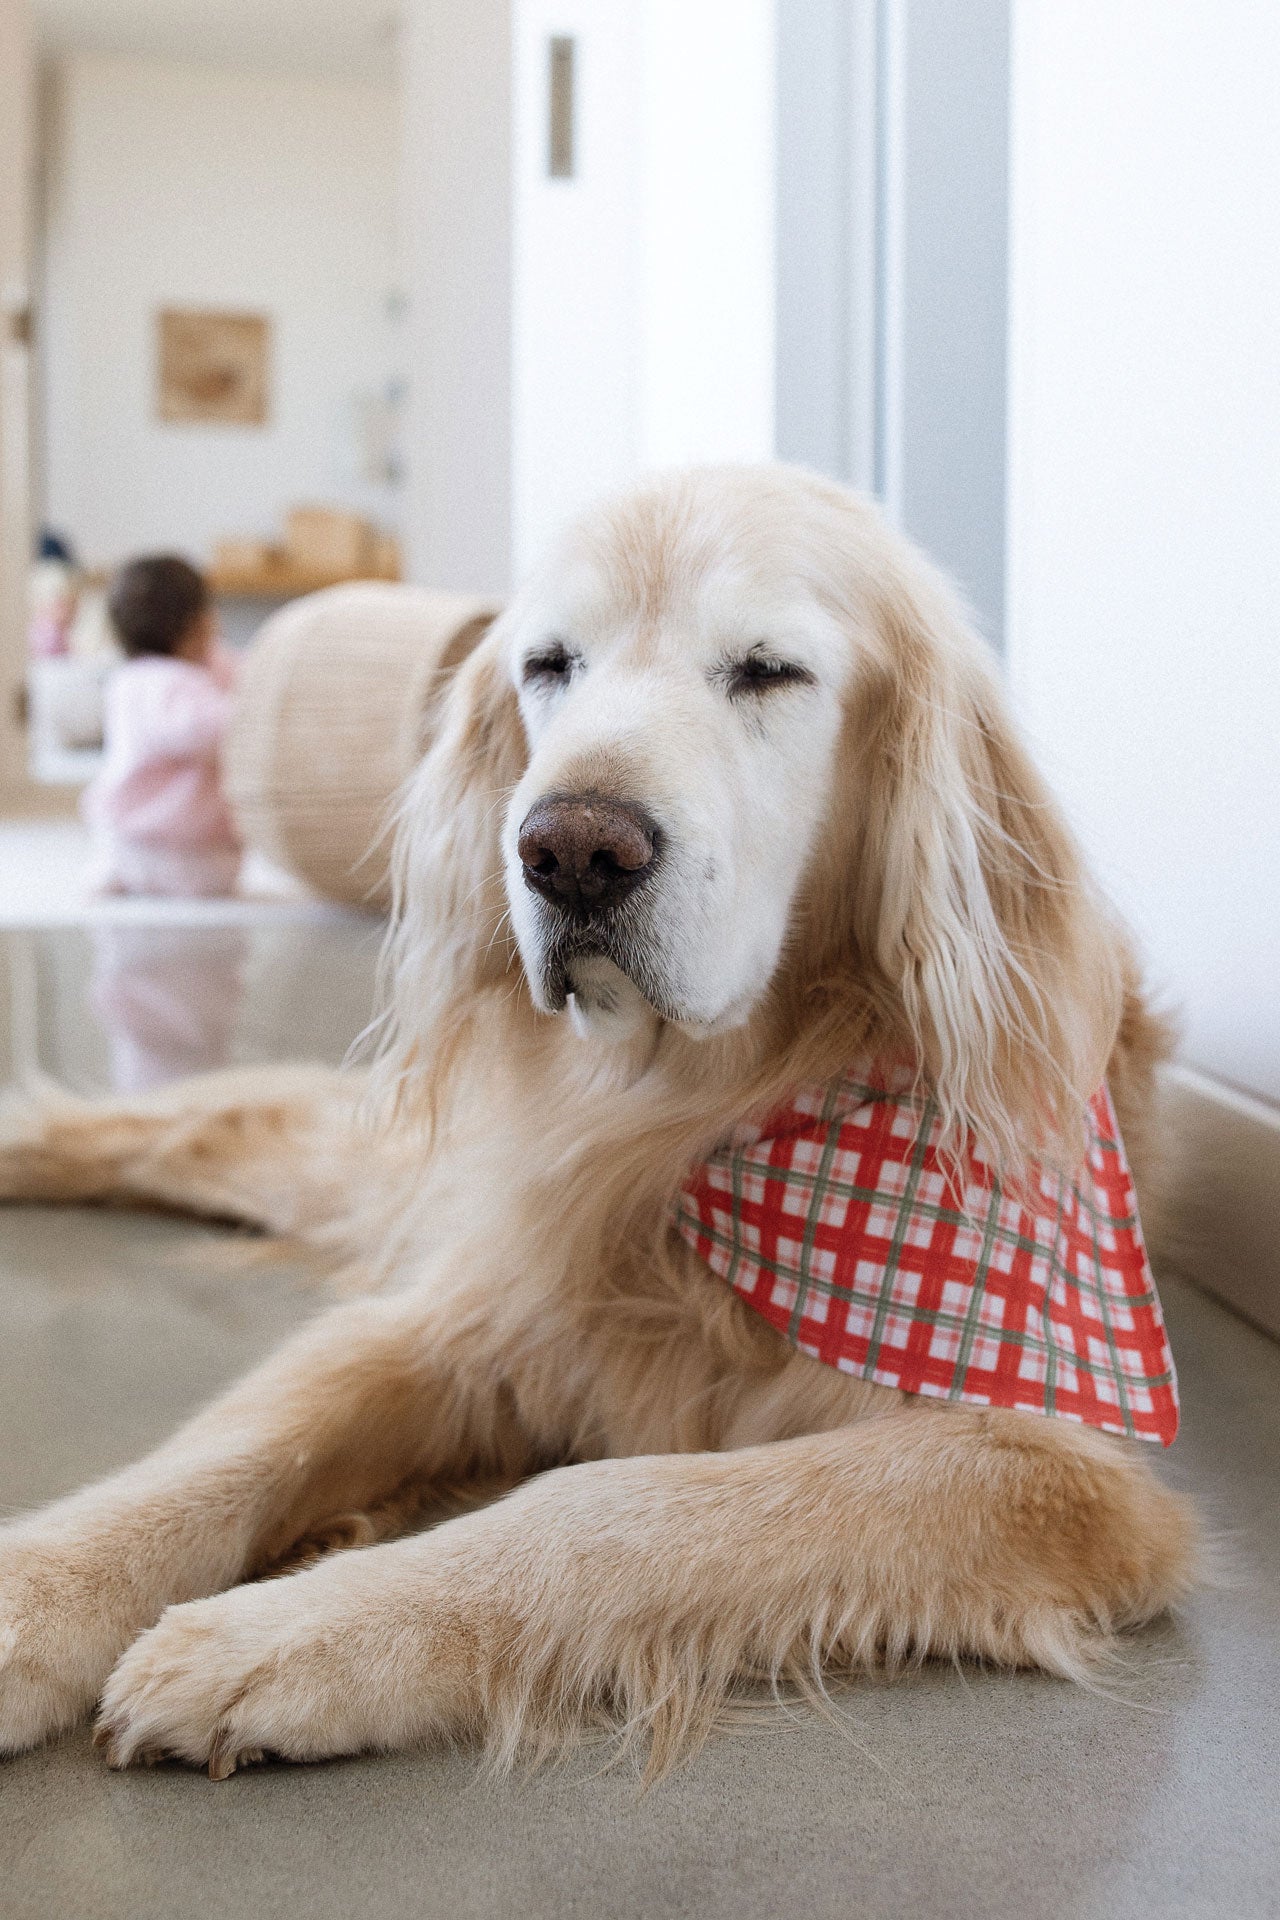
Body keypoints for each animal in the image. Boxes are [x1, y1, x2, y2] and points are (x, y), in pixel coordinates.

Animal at [2, 468, 1205, 1781]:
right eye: (549, 665)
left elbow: (616, 1505)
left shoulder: (1048, 1462)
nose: (571, 849)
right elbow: (232, 1451)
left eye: (768, 670)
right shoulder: (458, 1315)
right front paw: (38, 1590)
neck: (675, 1119)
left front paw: (292, 1631)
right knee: (186, 1123)